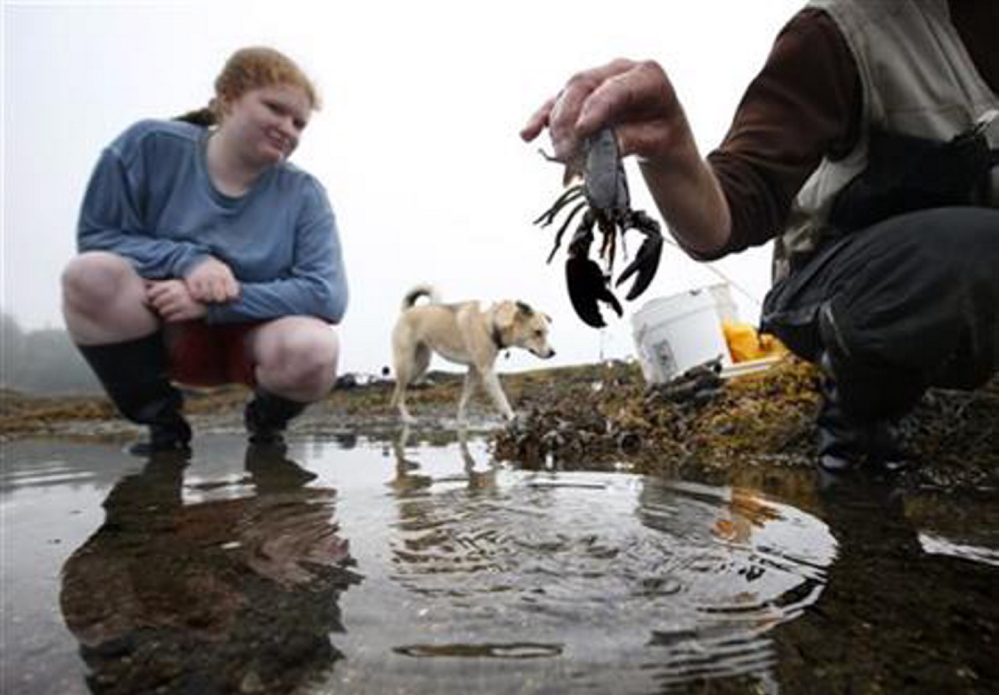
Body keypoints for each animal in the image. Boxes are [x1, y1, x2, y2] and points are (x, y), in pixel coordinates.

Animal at [390, 284, 560, 424]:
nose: (552, 353)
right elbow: (501, 397)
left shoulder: (474, 370)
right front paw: (512, 417)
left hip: (421, 363)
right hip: (406, 364)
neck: (492, 324)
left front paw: (461, 421)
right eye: (537, 332)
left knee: (402, 388)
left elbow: (465, 399)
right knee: (398, 393)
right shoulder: (487, 371)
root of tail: (407, 310)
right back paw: (407, 418)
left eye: (547, 332)